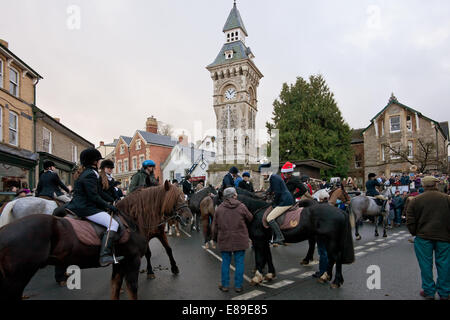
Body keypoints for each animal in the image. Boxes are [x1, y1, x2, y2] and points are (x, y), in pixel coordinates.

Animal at [0, 181, 192, 302]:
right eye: (177, 197)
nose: (189, 217)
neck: (132, 219)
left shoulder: (120, 263)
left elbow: (115, 288)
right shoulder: (132, 261)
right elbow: (132, 289)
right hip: (16, 280)